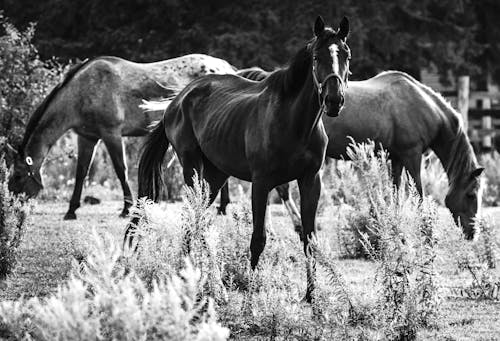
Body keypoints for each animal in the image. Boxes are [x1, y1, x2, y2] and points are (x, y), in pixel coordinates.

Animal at [7, 53, 234, 218]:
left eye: (17, 176)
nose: (12, 205)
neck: (81, 92)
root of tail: (226, 68)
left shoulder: (111, 134)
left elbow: (120, 170)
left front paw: (127, 208)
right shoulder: (87, 137)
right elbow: (81, 172)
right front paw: (71, 210)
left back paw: (223, 206)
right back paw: (222, 206)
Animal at [126, 15, 352, 298]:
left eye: (346, 54)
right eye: (316, 57)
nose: (334, 100)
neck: (295, 123)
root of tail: (177, 100)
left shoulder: (311, 181)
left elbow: (309, 238)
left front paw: (312, 296)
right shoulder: (261, 183)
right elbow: (258, 238)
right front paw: (250, 293)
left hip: (215, 175)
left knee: (196, 219)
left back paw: (201, 278)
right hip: (192, 168)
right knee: (194, 217)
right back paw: (201, 281)